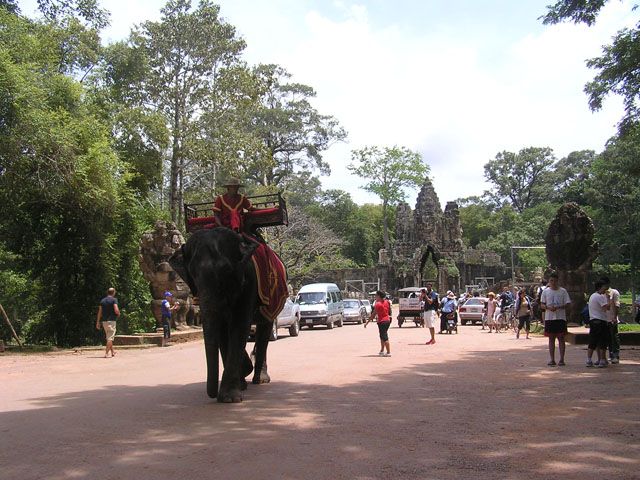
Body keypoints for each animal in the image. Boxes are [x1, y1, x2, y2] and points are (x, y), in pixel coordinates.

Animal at [166, 227, 274, 404]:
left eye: (226, 270)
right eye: (192, 274)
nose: (212, 394)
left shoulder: (250, 281)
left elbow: (240, 324)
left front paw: (230, 398)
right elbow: (223, 330)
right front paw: (240, 381)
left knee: (264, 329)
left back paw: (260, 379)